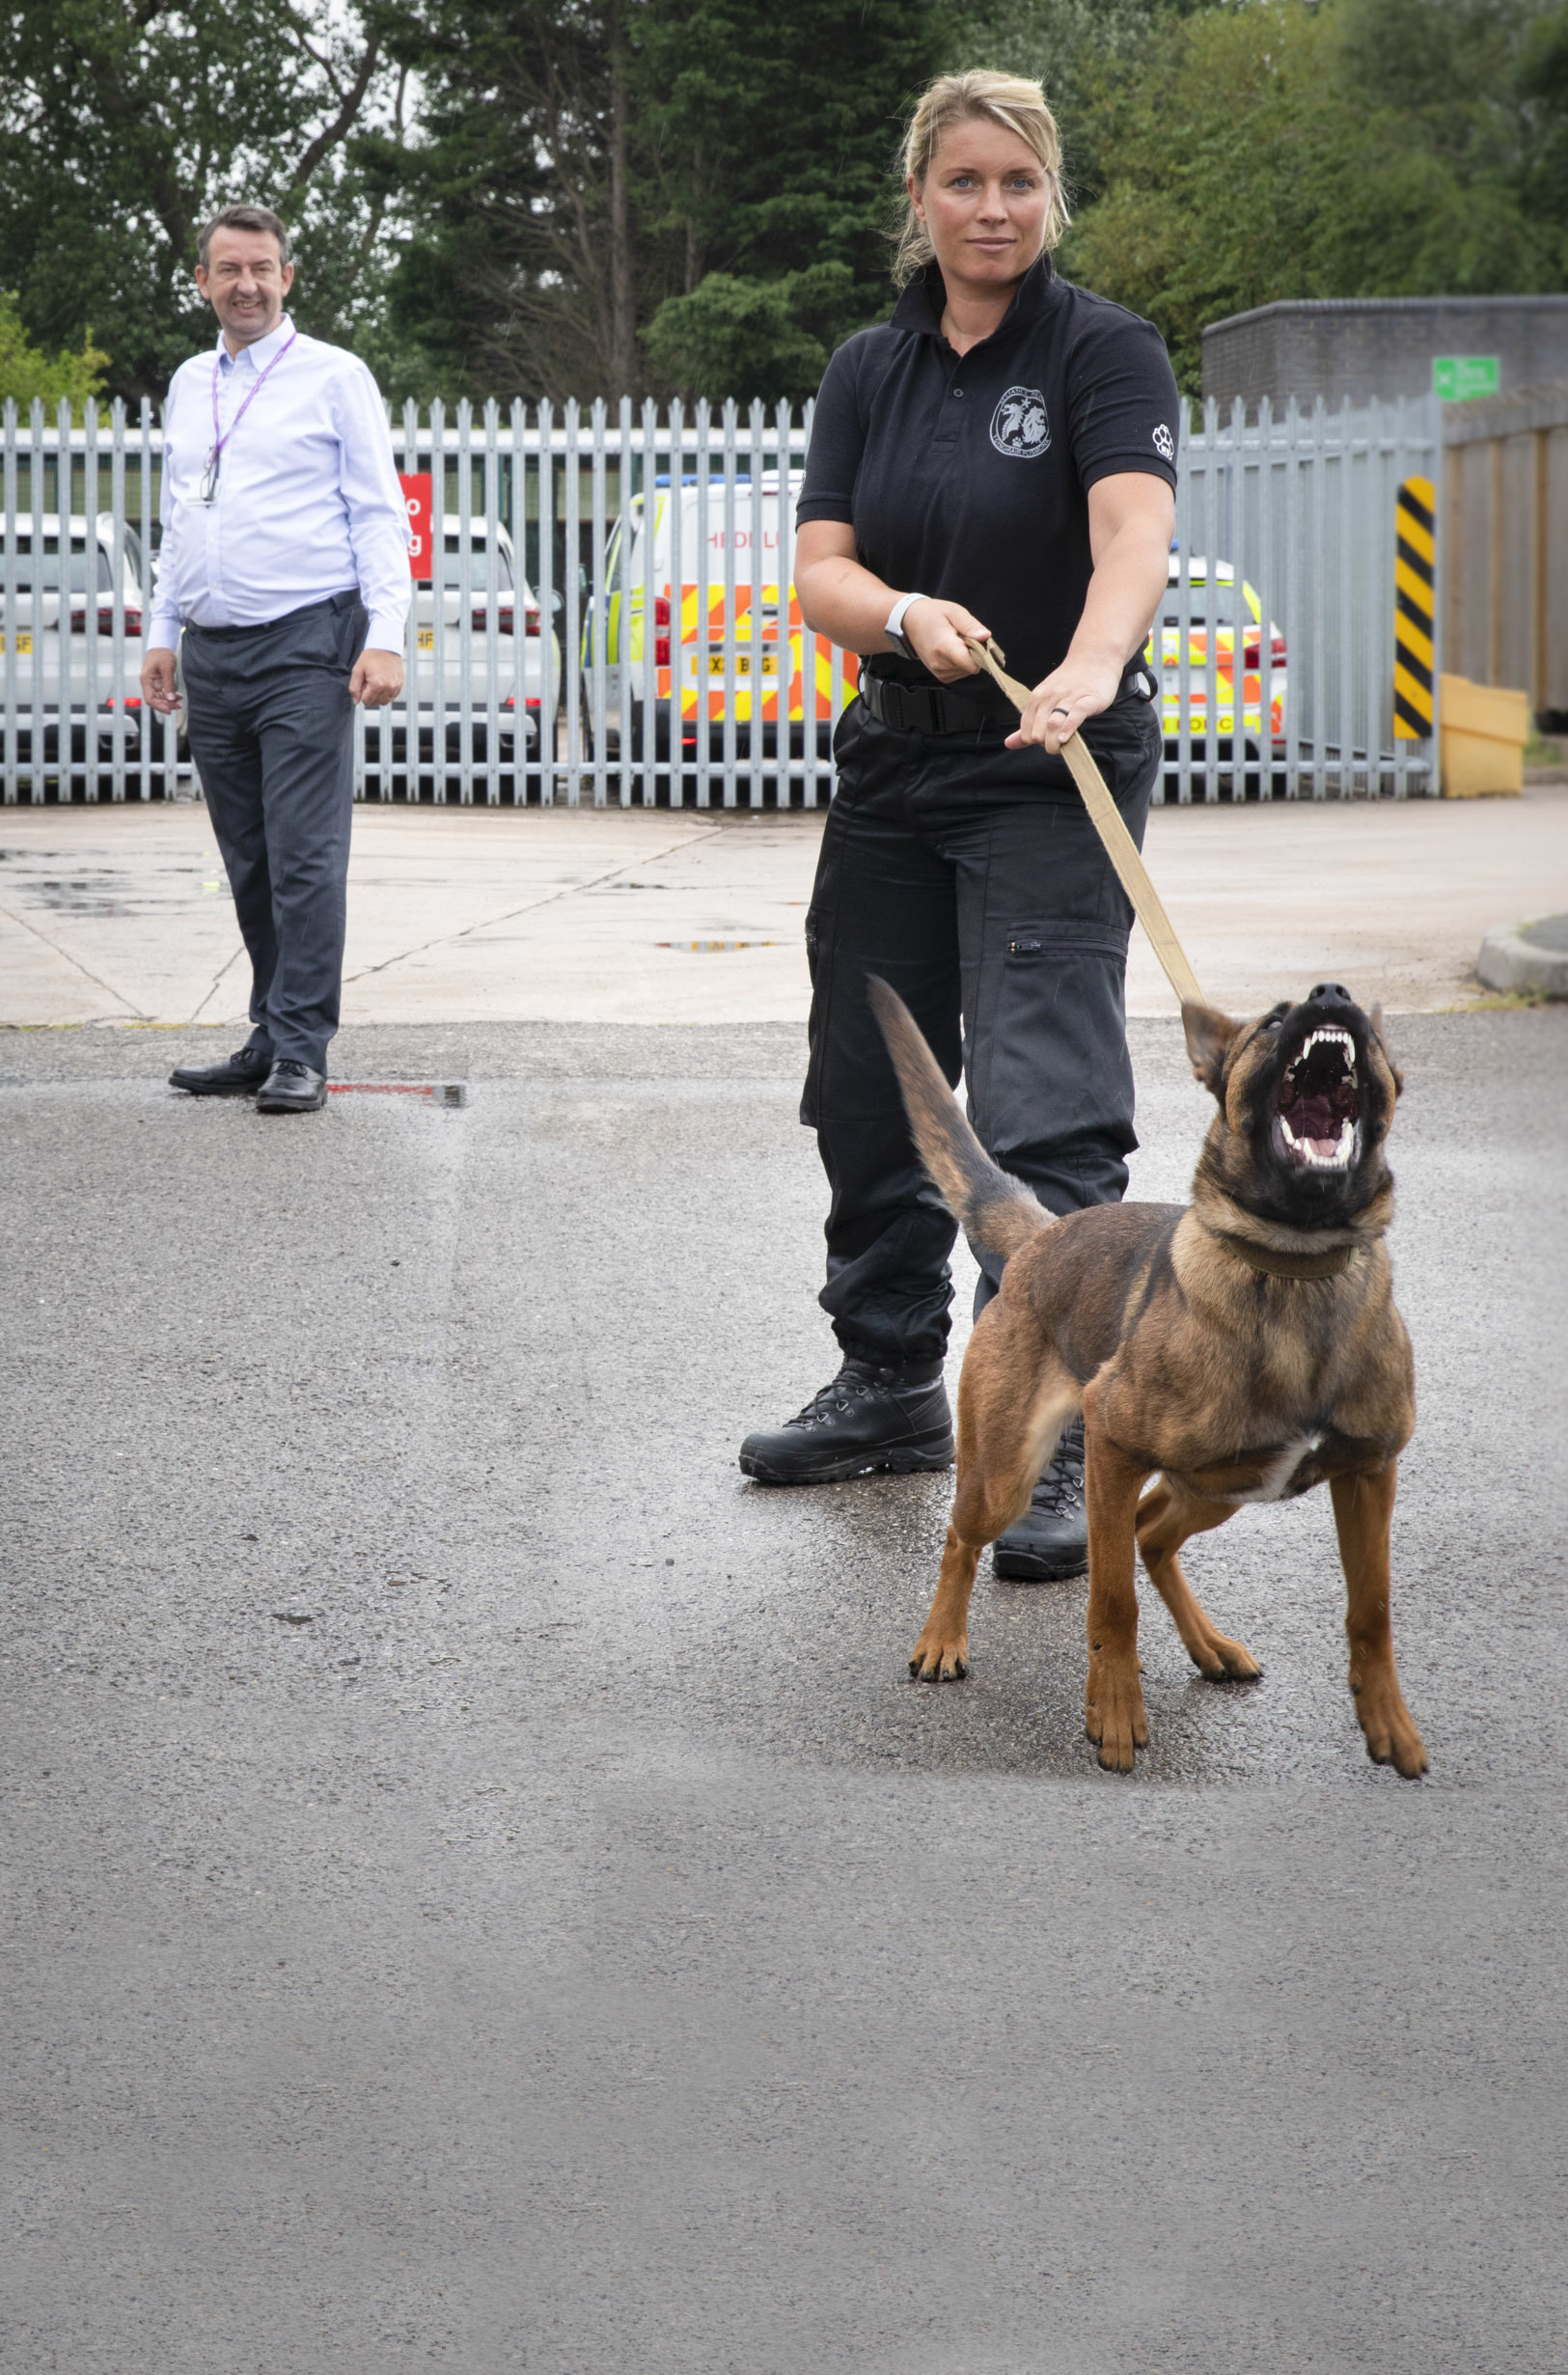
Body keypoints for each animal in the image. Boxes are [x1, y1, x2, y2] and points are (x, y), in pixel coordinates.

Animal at [869, 974, 1435, 1776]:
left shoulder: (1368, 1473)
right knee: (966, 1535)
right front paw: (1114, 1714)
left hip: (1218, 1485)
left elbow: (1371, 1609)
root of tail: (1045, 1233)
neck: (1293, 1262)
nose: (1331, 994)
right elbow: (1111, 1601)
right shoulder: (1110, 1444)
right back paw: (943, 1640)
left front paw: (1388, 1723)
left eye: (1374, 1038)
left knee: (1148, 1533)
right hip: (1008, 1475)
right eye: (1271, 1021)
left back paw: (1208, 1646)